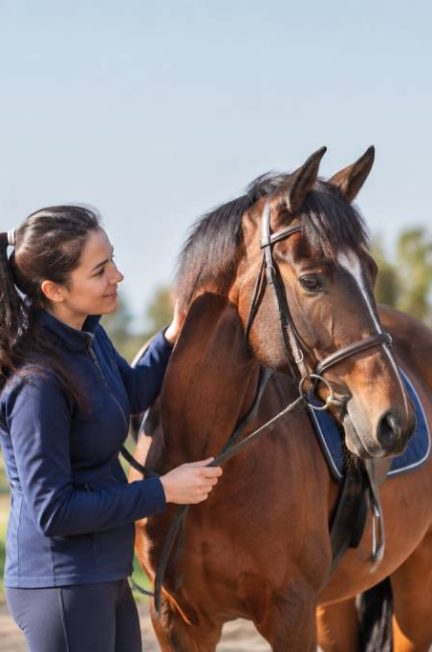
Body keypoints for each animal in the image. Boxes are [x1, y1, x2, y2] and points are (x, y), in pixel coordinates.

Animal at [131, 147, 432, 651]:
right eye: (311, 281)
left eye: (371, 272)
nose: (394, 423)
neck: (209, 457)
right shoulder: (176, 621)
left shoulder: (291, 614)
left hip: (415, 585)